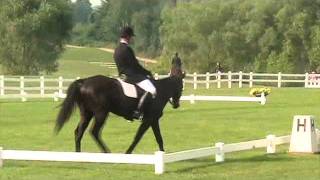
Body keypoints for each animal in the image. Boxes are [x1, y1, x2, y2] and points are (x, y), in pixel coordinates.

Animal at [55, 71, 185, 153]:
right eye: (182, 87)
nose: (176, 105)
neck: (160, 92)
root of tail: (84, 82)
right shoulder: (148, 120)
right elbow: (138, 137)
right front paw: (127, 153)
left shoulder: (153, 120)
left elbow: (159, 138)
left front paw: (163, 153)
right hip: (101, 113)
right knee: (94, 132)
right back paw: (107, 152)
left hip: (87, 113)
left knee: (79, 132)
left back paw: (78, 154)